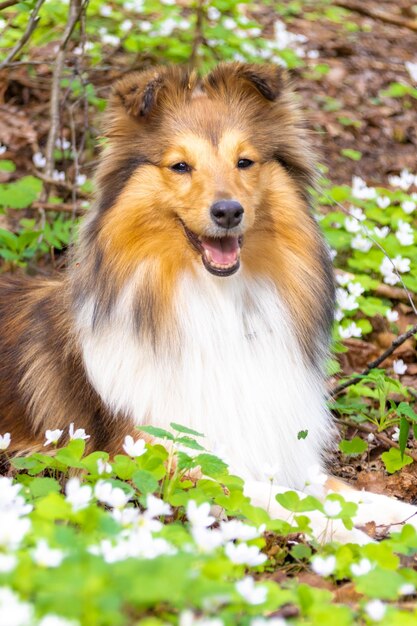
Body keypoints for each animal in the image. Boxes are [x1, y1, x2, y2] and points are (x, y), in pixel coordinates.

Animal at [0, 64, 416, 540]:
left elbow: (336, 490)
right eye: (180, 166)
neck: (217, 302)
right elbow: (273, 499)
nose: (228, 211)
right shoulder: (163, 457)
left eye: (245, 162)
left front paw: (394, 512)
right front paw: (348, 535)